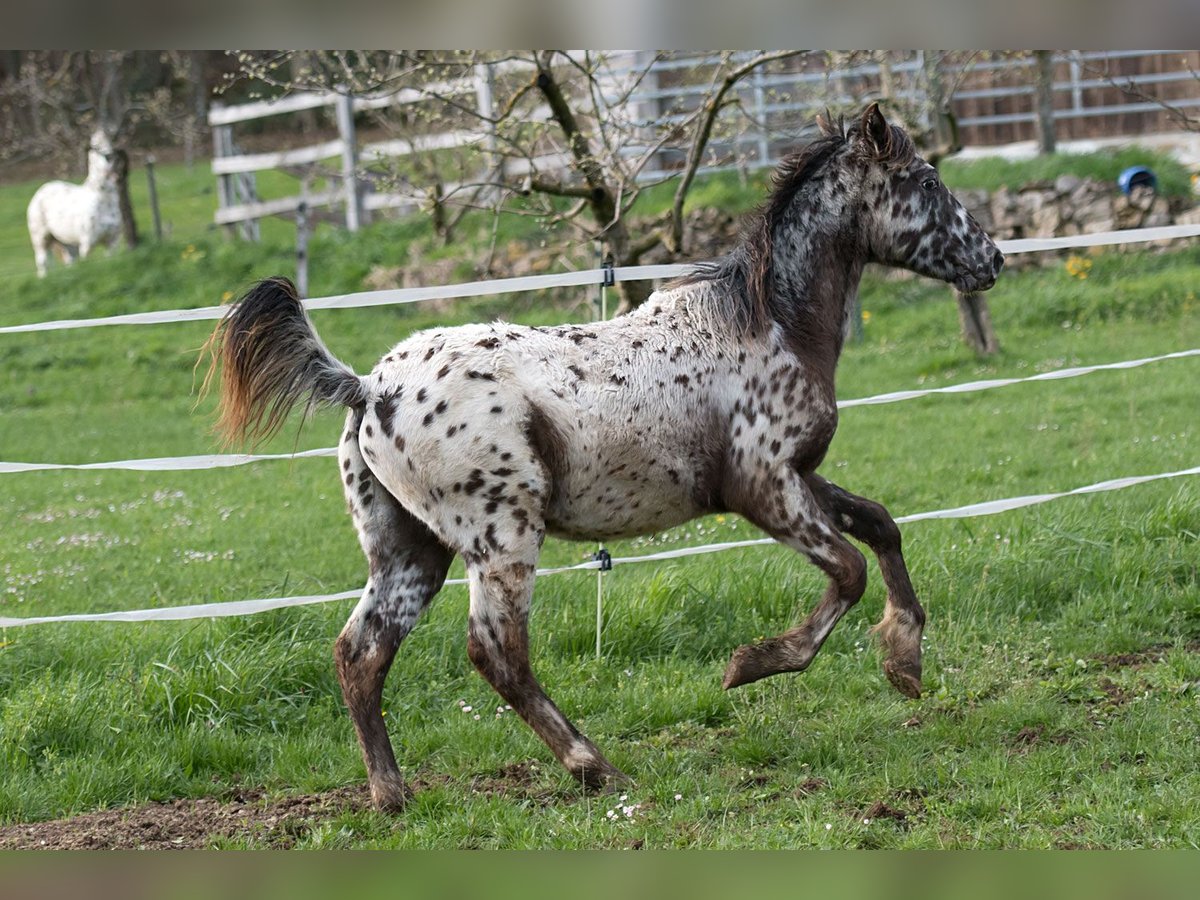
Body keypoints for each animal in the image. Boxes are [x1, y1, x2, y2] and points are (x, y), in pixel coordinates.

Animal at [26, 129, 121, 278]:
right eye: (94, 147)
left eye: (110, 144)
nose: (109, 158)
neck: (103, 202)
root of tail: (41, 190)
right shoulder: (86, 245)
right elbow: (87, 264)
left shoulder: (112, 242)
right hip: (41, 239)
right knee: (43, 263)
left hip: (68, 243)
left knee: (69, 261)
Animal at [208, 103, 1003, 811]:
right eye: (925, 179)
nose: (992, 259)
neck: (768, 323)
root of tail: (369, 388)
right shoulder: (761, 487)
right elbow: (848, 569)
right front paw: (748, 666)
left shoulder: (800, 474)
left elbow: (881, 525)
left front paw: (904, 661)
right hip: (501, 539)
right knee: (495, 653)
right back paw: (597, 769)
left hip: (410, 549)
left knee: (361, 653)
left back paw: (391, 794)